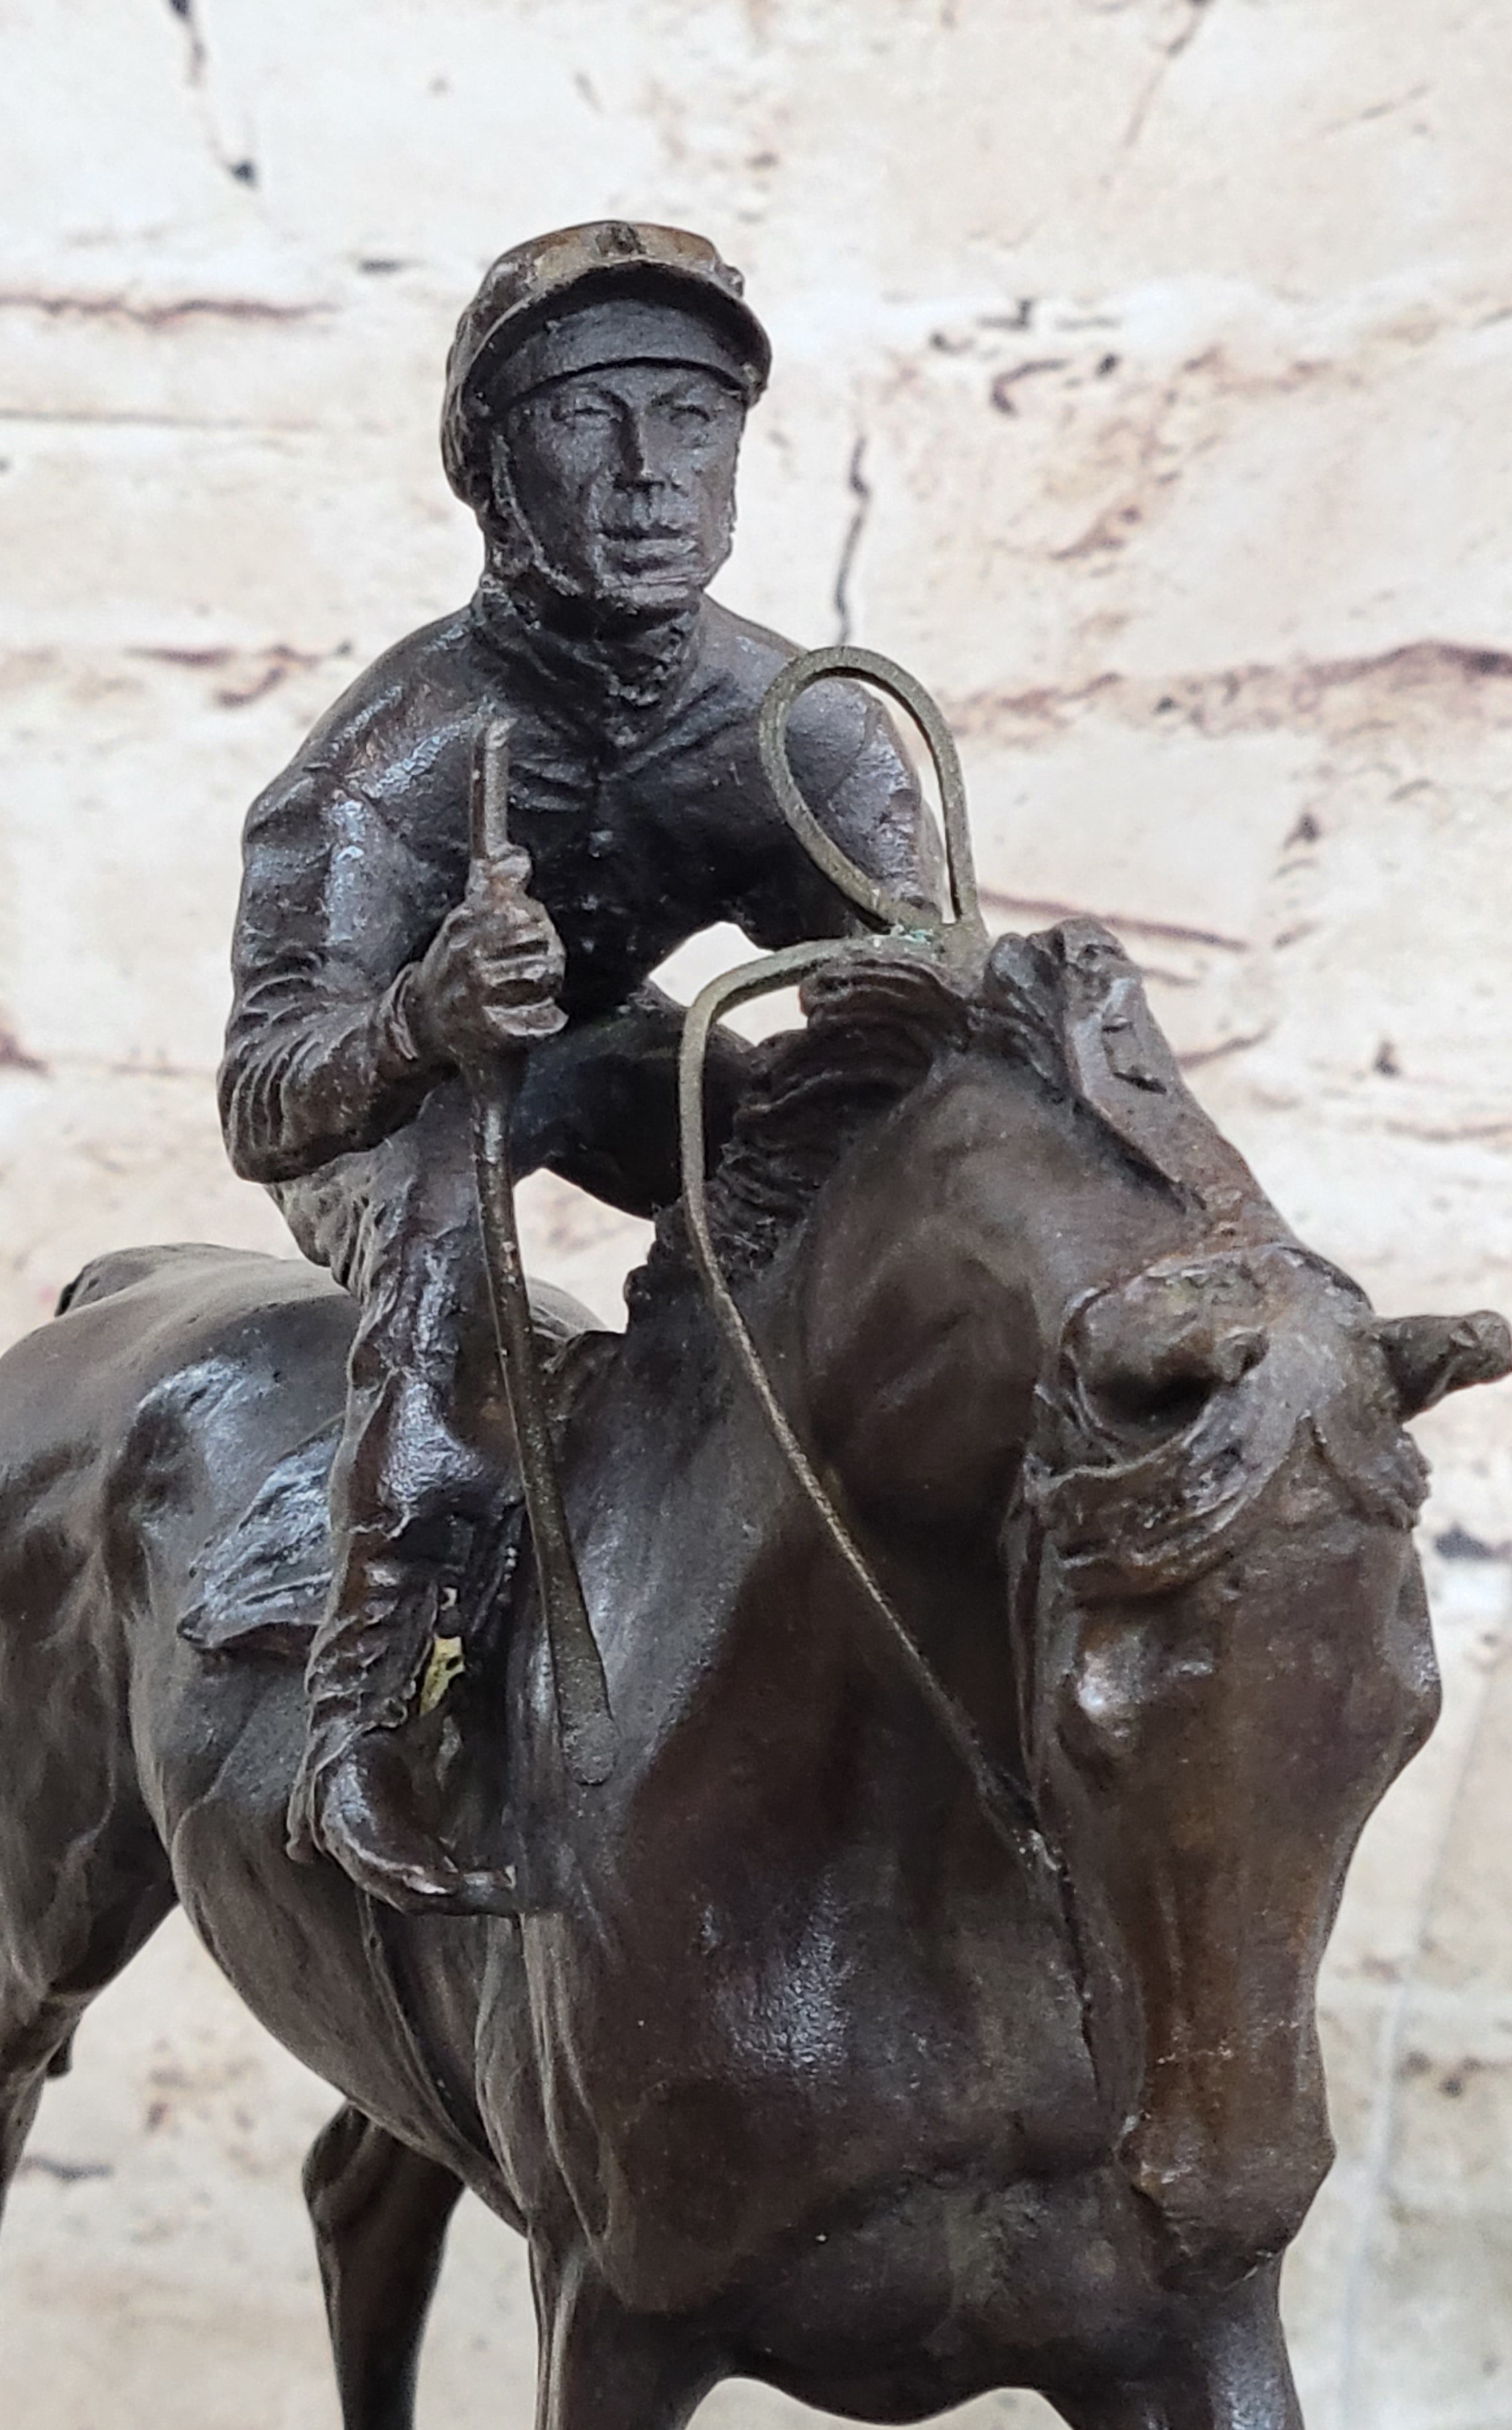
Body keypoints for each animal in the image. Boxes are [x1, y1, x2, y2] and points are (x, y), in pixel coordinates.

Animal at [0, 913, 1507, 2430]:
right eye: (1088, 1729)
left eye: (1406, 1724)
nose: (1230, 2195)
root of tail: (117, 1285)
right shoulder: (612, 2323)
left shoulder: (1185, 2337)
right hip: (41, 1947)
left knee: (357, 2206)